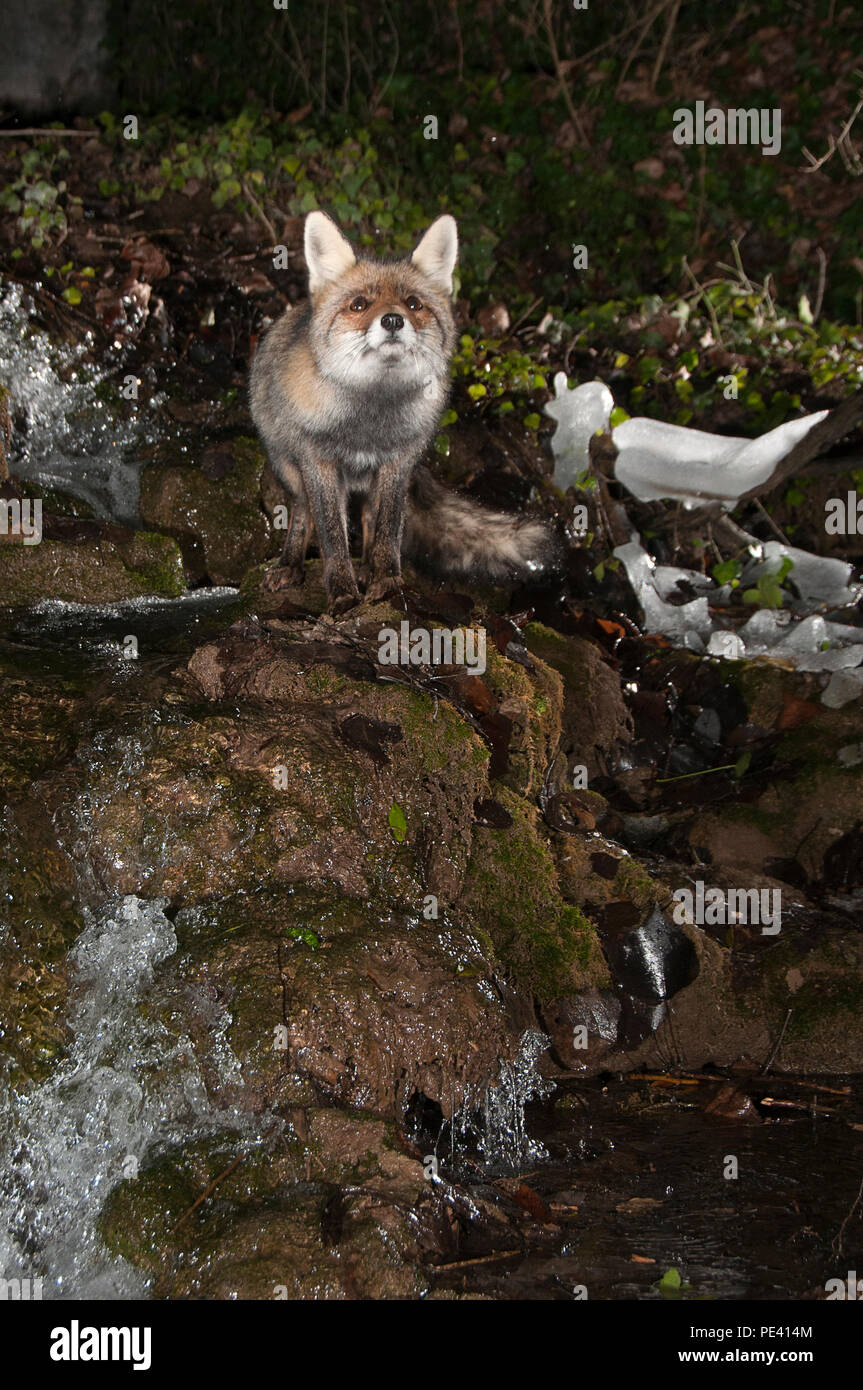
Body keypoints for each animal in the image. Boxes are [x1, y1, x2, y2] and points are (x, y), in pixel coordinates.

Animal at [248, 208, 558, 611]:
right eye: (359, 304)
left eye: (413, 304)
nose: (393, 320)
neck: (371, 418)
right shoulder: (319, 462)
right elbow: (332, 535)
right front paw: (343, 591)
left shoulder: (399, 461)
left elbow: (388, 530)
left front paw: (386, 582)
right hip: (289, 468)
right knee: (302, 511)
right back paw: (292, 565)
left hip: (374, 481)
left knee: (368, 517)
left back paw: (366, 569)